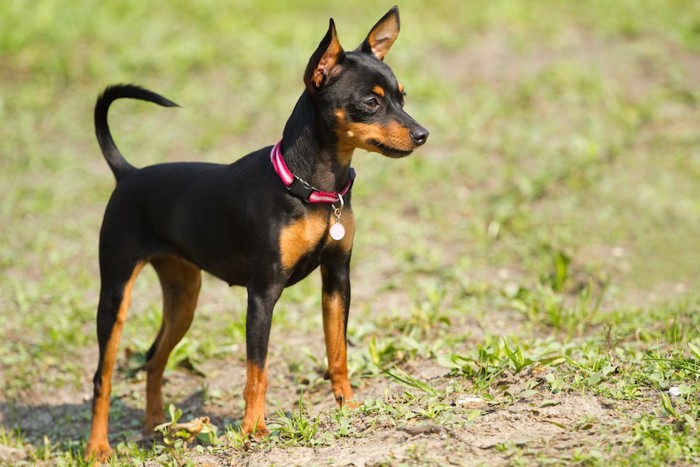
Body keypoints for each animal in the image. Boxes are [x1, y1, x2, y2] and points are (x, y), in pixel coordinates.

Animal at [85, 6, 430, 460]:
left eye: (402, 97)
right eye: (371, 102)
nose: (422, 134)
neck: (311, 187)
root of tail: (128, 174)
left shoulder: (337, 278)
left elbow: (337, 352)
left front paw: (349, 407)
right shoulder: (263, 293)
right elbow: (257, 370)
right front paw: (253, 428)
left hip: (184, 295)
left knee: (155, 357)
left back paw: (155, 425)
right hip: (116, 294)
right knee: (102, 377)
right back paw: (97, 447)